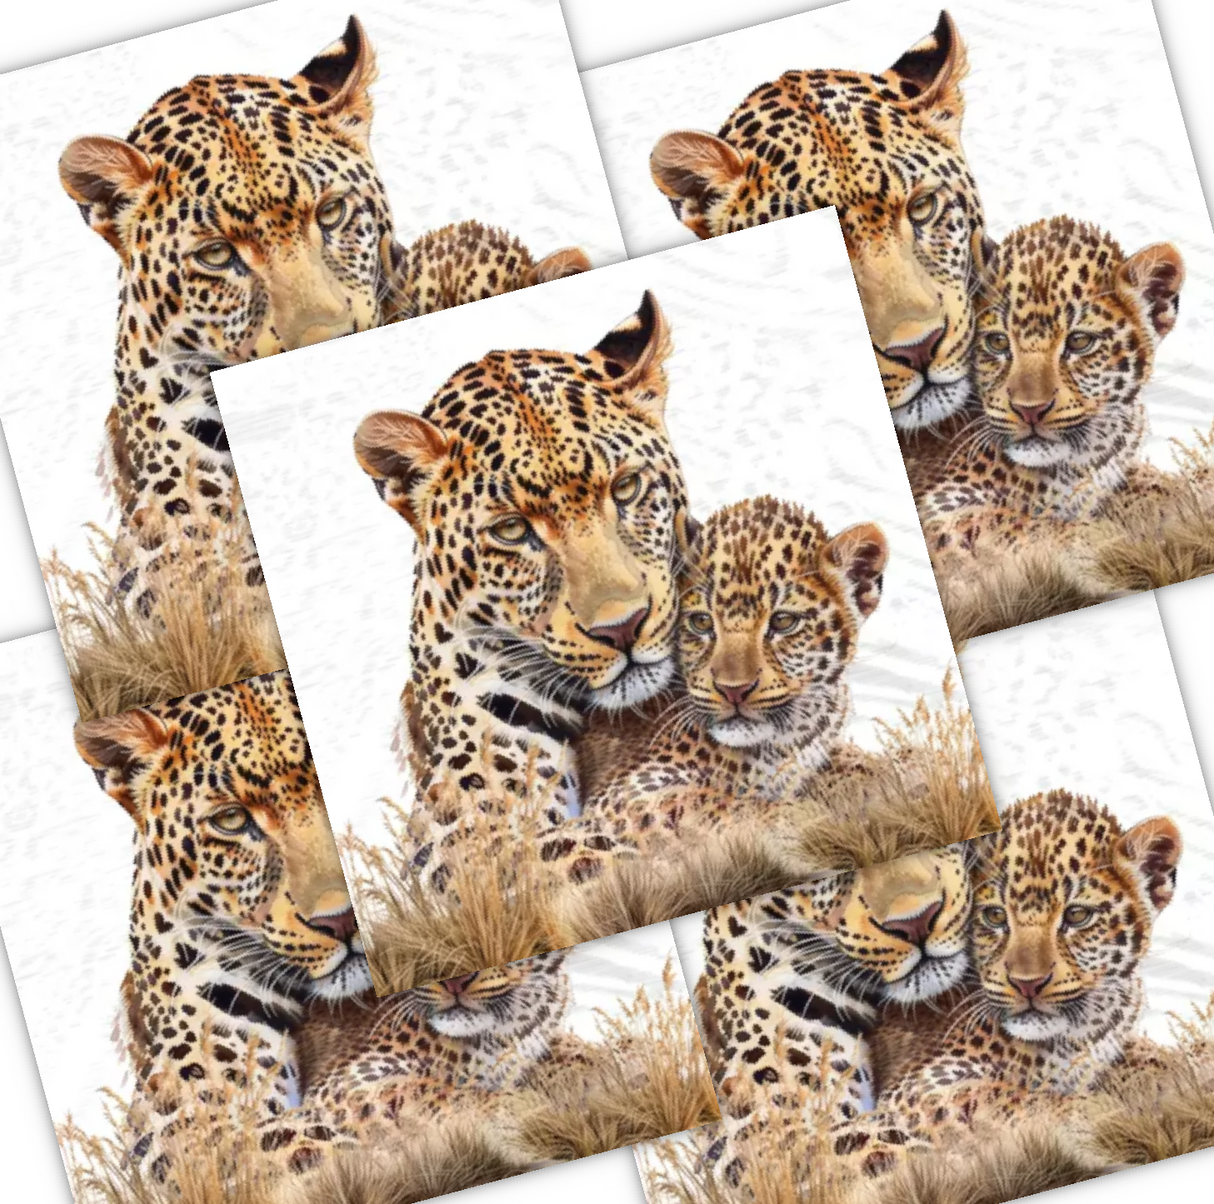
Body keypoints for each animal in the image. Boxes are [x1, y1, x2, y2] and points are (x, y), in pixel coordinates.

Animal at [578, 495, 888, 844]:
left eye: (783, 621)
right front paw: (804, 817)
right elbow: (714, 803)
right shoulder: (627, 791)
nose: (733, 690)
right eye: (701, 622)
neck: (784, 741)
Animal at [825, 790, 1182, 1178]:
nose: (1028, 984)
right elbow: (1002, 1096)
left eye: (1077, 915)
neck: (1079, 1031)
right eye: (994, 916)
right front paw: (1093, 1112)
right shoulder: (921, 1083)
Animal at [914, 217, 1186, 560]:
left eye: (1080, 342)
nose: (1030, 410)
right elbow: (1017, 524)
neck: (1080, 462)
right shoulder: (939, 503)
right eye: (997, 342)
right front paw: (1100, 537)